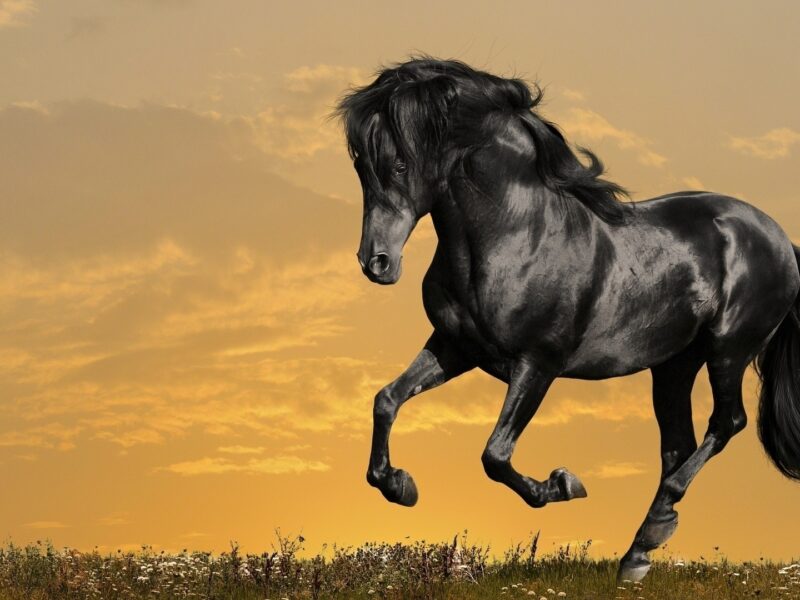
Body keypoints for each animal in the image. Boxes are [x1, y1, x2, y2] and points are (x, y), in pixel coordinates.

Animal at [335, 57, 800, 581]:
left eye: (399, 164)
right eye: (360, 164)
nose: (376, 263)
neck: (517, 236)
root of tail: (779, 239)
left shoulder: (538, 364)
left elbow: (495, 455)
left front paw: (563, 484)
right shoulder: (456, 347)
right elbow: (386, 400)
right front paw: (400, 486)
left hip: (728, 351)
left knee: (727, 422)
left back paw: (654, 528)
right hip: (674, 366)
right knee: (678, 445)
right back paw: (637, 554)